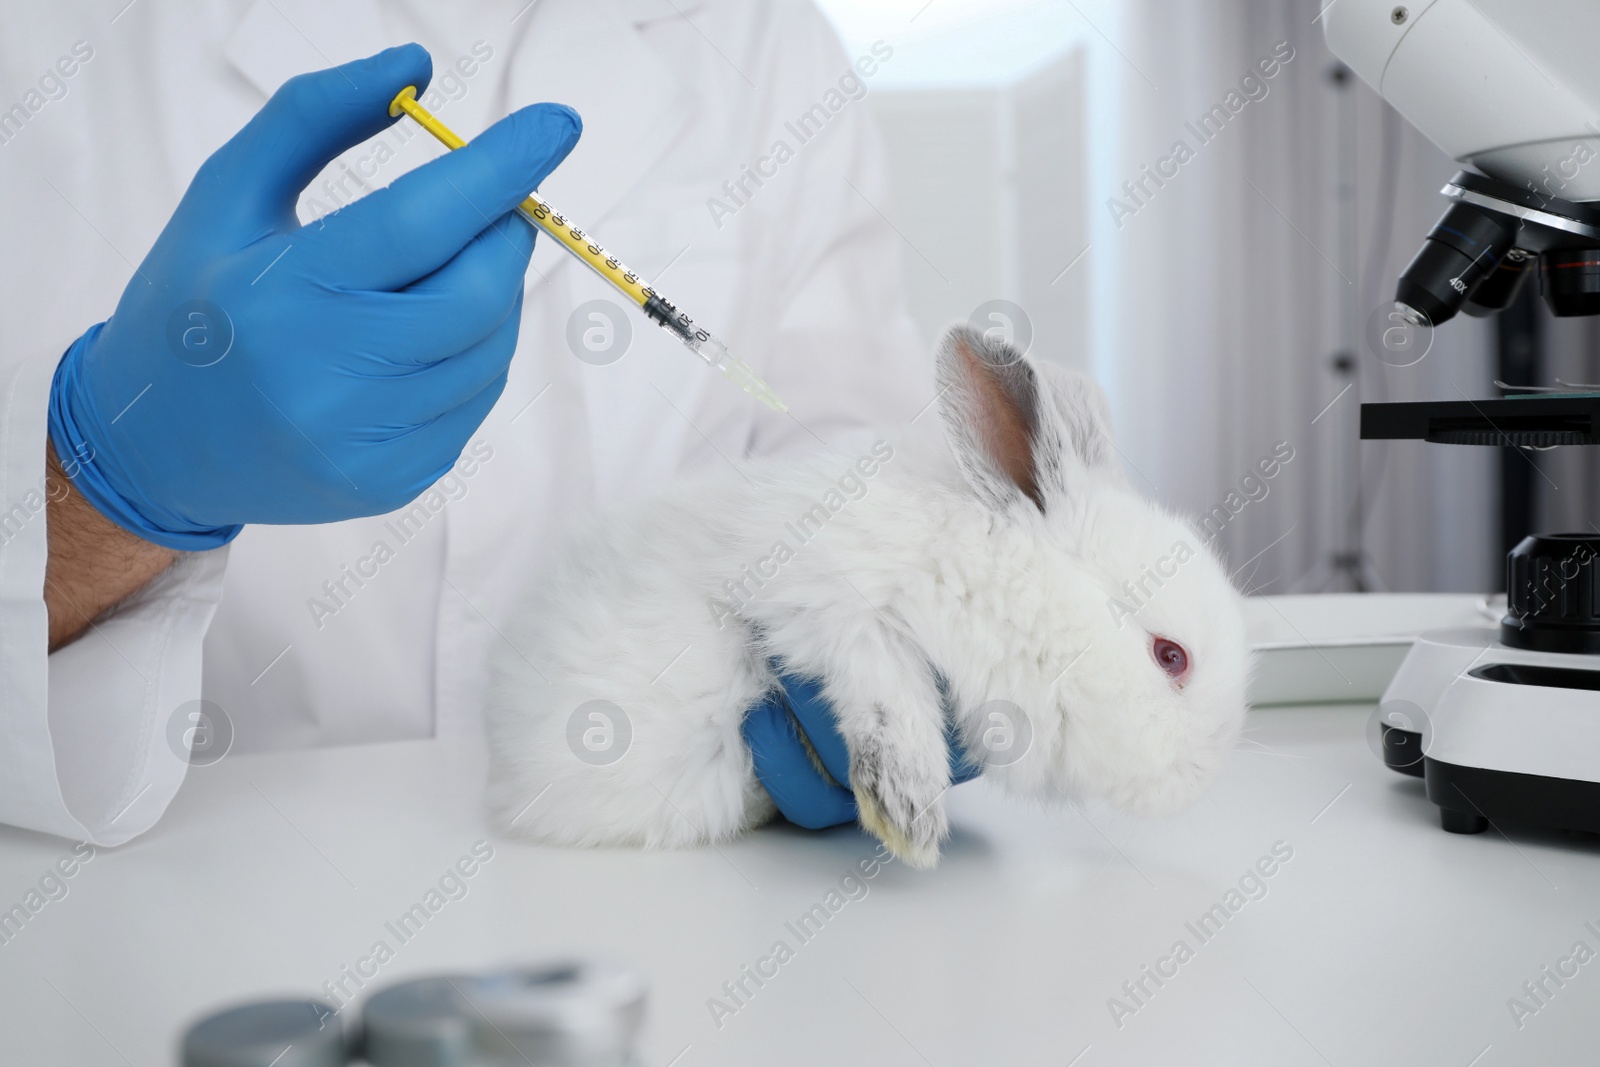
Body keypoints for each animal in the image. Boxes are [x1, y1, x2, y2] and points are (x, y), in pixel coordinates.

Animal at [486, 323, 1248, 870]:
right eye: (1170, 655)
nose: (1205, 775)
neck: (994, 571)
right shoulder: (809, 598)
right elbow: (879, 669)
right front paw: (909, 812)